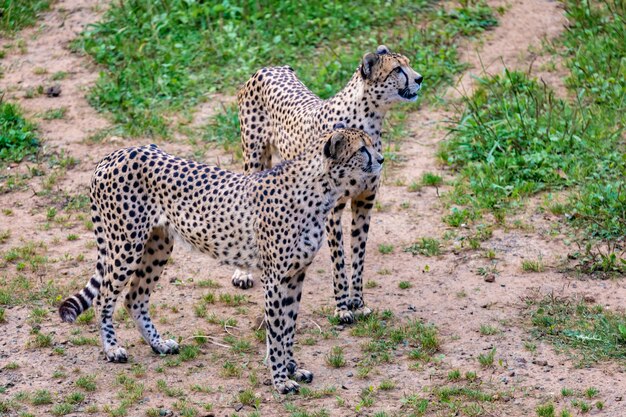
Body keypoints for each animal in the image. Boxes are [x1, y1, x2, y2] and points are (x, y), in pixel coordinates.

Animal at [58, 127, 382, 394]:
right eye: (361, 150)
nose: (381, 158)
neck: (320, 190)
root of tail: (116, 153)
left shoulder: (295, 274)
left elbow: (289, 327)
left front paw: (292, 368)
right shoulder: (275, 278)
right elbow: (277, 331)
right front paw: (280, 379)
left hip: (158, 245)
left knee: (134, 298)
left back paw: (158, 344)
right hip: (125, 245)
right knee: (105, 297)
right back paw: (112, 349)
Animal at [232, 44, 422, 322]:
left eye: (408, 64)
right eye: (398, 69)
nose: (420, 78)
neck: (370, 118)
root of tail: (270, 67)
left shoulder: (365, 202)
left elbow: (358, 255)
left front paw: (359, 303)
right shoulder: (333, 210)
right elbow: (339, 259)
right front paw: (342, 307)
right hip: (253, 155)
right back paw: (243, 273)